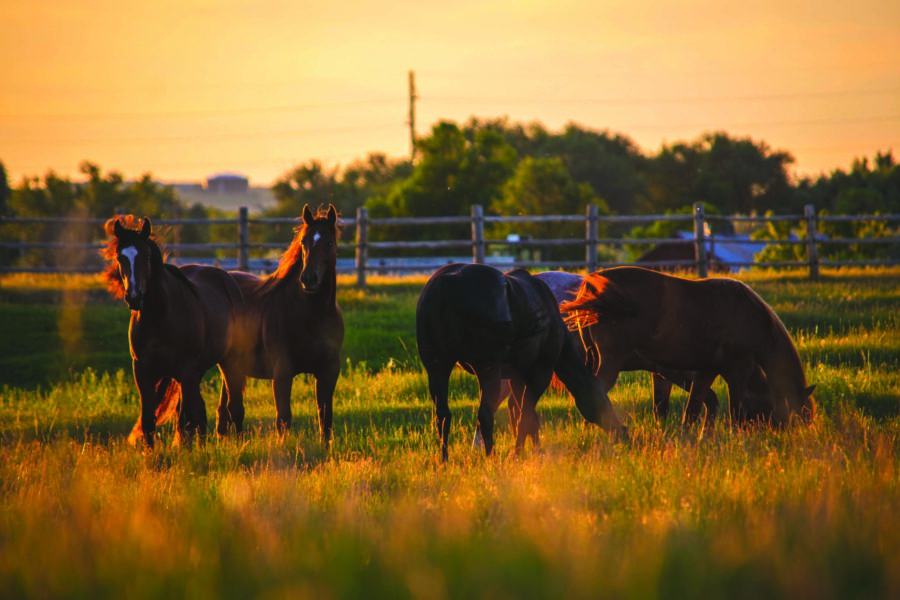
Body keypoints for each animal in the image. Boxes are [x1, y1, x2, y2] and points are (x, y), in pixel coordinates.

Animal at [102, 214, 244, 446]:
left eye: (147, 256)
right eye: (119, 257)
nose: (133, 297)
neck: (159, 316)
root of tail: (227, 279)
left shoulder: (185, 368)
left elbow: (184, 417)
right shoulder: (142, 370)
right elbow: (149, 419)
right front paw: (151, 454)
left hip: (227, 360)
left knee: (233, 406)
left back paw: (240, 442)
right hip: (196, 372)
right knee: (199, 409)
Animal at [216, 204, 346, 442]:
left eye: (329, 243)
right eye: (303, 242)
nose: (308, 278)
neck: (313, 316)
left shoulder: (329, 370)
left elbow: (325, 420)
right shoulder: (282, 371)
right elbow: (283, 419)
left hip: (233, 367)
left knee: (224, 413)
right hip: (229, 367)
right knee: (234, 409)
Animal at [416, 260, 624, 462]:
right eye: (602, 394)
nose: (623, 433)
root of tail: (451, 279)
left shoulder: (517, 377)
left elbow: (527, 417)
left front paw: (535, 452)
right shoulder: (540, 373)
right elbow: (526, 417)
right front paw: (518, 454)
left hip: (437, 369)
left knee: (442, 415)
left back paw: (444, 460)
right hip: (488, 371)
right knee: (485, 415)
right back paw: (492, 459)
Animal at [560, 268, 812, 426]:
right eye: (801, 413)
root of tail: (592, 285)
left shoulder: (705, 370)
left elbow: (692, 408)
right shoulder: (739, 367)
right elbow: (734, 410)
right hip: (610, 362)